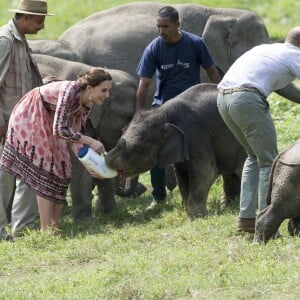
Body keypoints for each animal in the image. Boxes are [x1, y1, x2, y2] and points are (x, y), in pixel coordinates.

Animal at [105, 83, 246, 219]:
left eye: (138, 149)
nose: (142, 188)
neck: (162, 113)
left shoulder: (195, 134)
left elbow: (206, 171)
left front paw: (196, 218)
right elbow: (182, 175)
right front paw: (190, 215)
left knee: (239, 169)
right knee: (230, 172)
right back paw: (227, 208)